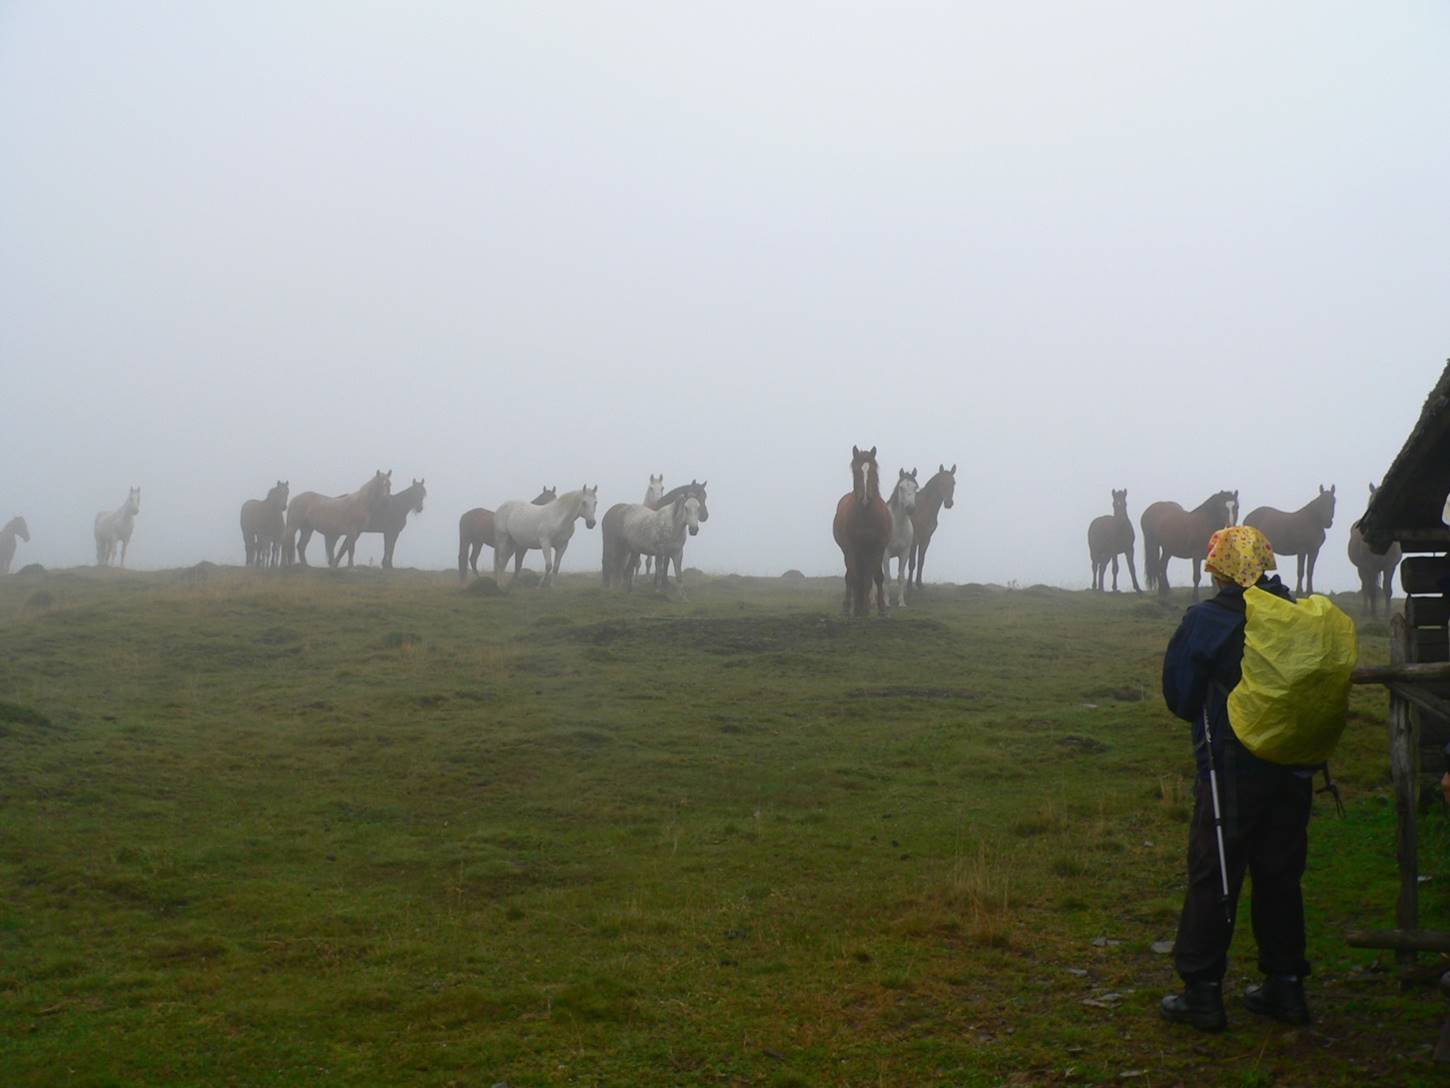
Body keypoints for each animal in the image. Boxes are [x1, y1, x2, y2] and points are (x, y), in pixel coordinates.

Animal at [832, 446, 892, 617]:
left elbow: (877, 577)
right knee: (851, 576)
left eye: (873, 471)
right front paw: (853, 609)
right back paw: (851, 607)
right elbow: (853, 576)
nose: (865, 498)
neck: (866, 515)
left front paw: (881, 609)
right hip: (851, 551)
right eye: (855, 471)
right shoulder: (851, 548)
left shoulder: (878, 547)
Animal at [881, 468, 918, 607]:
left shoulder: (905, 553)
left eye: (915, 487)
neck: (897, 526)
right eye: (901, 487)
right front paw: (886, 602)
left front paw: (901, 602)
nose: (910, 508)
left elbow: (901, 577)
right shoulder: (885, 553)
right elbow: (887, 577)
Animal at [1347, 482, 1401, 616]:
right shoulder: (1369, 566)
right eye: (1371, 501)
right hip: (1361, 568)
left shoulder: (1390, 566)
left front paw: (1387, 614)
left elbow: (1387, 589)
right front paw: (1374, 615)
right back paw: (1365, 611)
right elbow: (1372, 591)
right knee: (1365, 587)